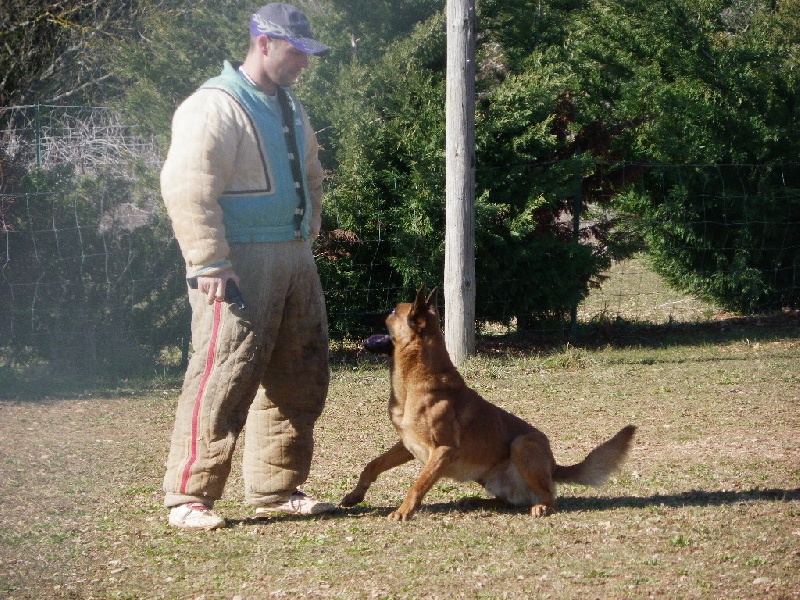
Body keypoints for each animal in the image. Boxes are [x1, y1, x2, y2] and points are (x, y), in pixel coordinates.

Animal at [340, 288, 636, 520]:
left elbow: (419, 484)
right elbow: (372, 465)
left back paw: (542, 506)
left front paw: (403, 511)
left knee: (548, 496)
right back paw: (476, 501)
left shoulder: (443, 451)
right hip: (487, 474)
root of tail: (554, 466)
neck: (418, 382)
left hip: (522, 444)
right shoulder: (406, 445)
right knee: (509, 501)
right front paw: (355, 495)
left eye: (391, 311)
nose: (355, 314)